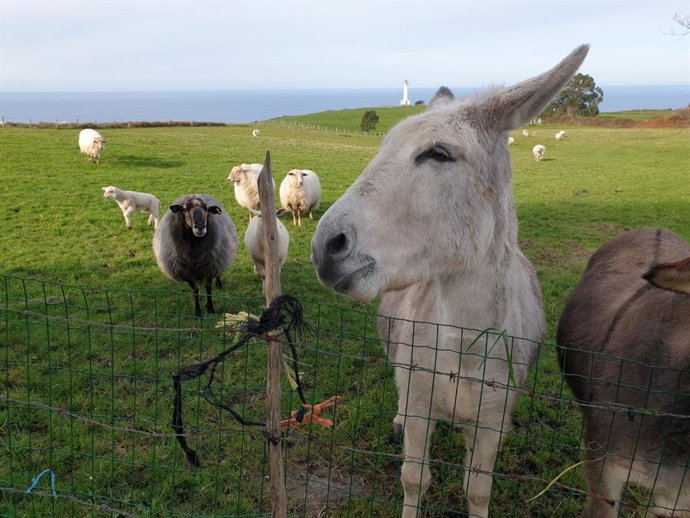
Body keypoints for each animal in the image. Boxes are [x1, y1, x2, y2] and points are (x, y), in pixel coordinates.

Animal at [312, 44, 589, 518]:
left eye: (438, 154)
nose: (324, 248)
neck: (464, 347)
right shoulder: (420, 400)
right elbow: (413, 478)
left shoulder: (494, 417)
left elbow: (477, 488)